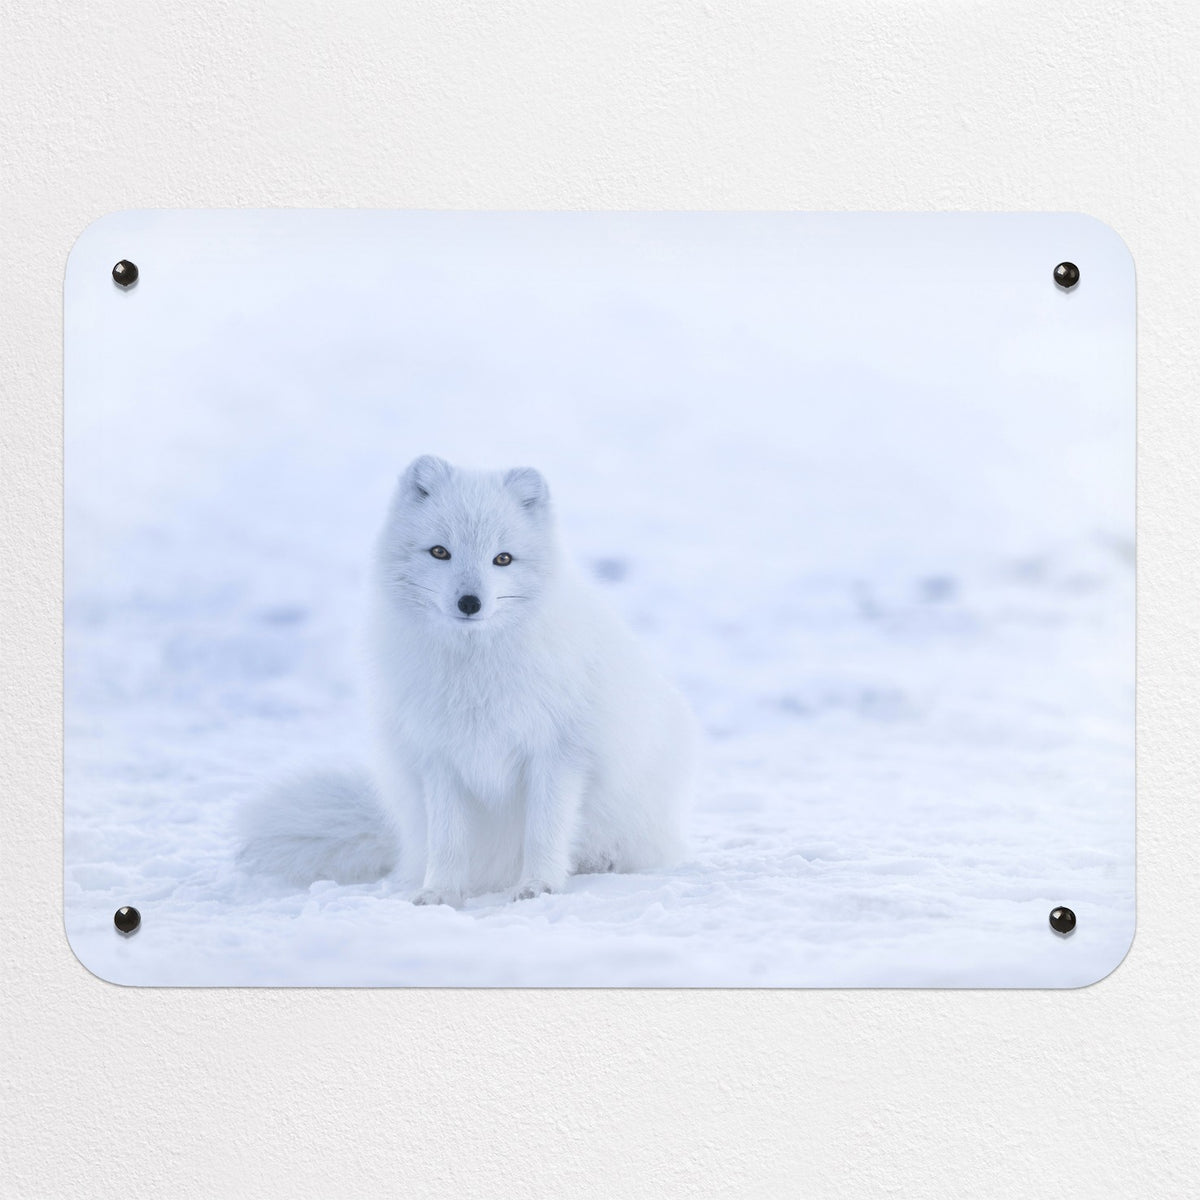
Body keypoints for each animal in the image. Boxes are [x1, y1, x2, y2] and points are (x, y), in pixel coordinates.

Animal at [238, 454, 697, 905]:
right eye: (440, 551)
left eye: (503, 559)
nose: (470, 602)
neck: (475, 671)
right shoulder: (439, 757)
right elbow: (448, 840)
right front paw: (440, 892)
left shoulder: (558, 753)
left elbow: (544, 830)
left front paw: (539, 886)